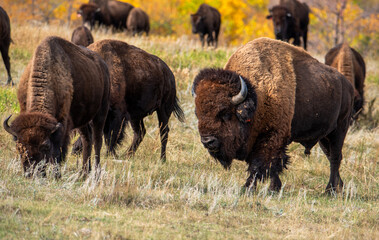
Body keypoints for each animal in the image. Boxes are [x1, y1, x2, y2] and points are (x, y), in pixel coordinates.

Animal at [3, 36, 110, 178]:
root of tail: (103, 66)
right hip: (82, 120)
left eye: (45, 146)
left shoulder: (63, 124)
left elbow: (58, 152)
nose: (32, 173)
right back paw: (84, 172)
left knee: (97, 141)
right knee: (87, 139)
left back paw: (95, 173)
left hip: (101, 112)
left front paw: (56, 175)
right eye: (19, 147)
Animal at [194, 37, 354, 193]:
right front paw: (274, 188)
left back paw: (330, 190)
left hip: (339, 129)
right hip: (324, 137)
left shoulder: (273, 137)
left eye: (226, 113)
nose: (208, 141)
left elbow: (261, 164)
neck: (257, 95)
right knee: (331, 156)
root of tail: (347, 85)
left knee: (335, 158)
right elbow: (272, 166)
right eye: (198, 114)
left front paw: (248, 188)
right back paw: (339, 186)